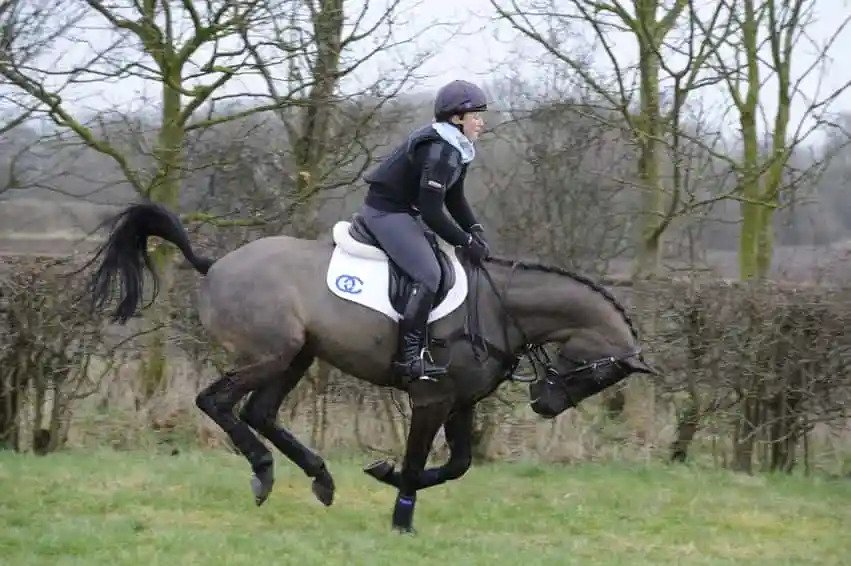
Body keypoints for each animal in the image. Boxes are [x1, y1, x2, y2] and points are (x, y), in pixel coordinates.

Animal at [83, 201, 655, 533]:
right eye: (599, 373)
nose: (545, 405)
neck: (500, 308)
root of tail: (215, 264)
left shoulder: (461, 402)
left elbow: (457, 464)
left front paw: (386, 474)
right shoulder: (431, 398)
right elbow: (424, 457)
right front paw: (402, 516)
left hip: (297, 355)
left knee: (260, 412)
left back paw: (319, 478)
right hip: (271, 354)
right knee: (217, 401)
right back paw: (264, 472)